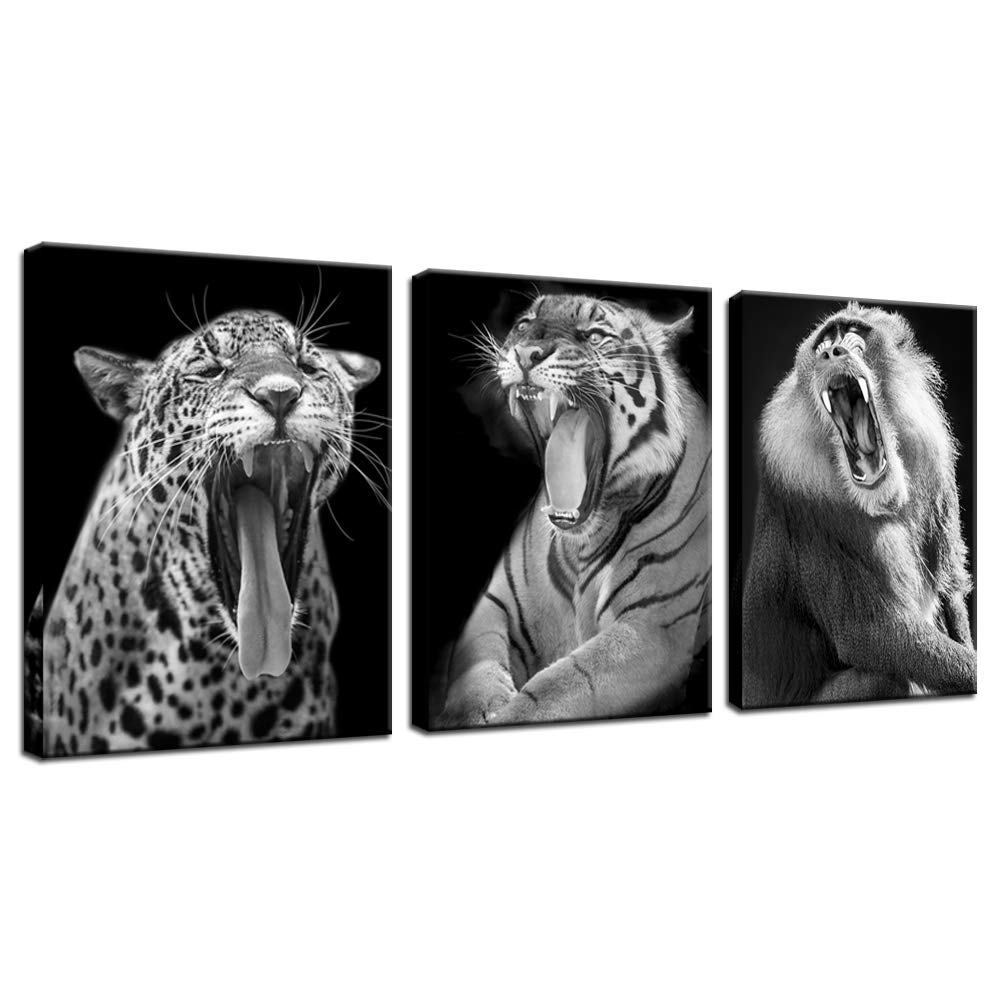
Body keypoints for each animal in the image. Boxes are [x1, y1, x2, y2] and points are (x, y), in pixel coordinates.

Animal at [435, 293, 711, 728]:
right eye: (524, 325)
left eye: (594, 335)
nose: (526, 353)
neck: (581, 542)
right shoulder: (493, 606)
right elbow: (475, 675)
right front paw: (474, 713)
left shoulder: (653, 629)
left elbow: (555, 689)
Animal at [741, 302, 975, 707]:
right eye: (823, 344)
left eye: (853, 335)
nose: (832, 353)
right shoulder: (803, 500)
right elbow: (866, 631)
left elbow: (951, 592)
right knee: (884, 678)